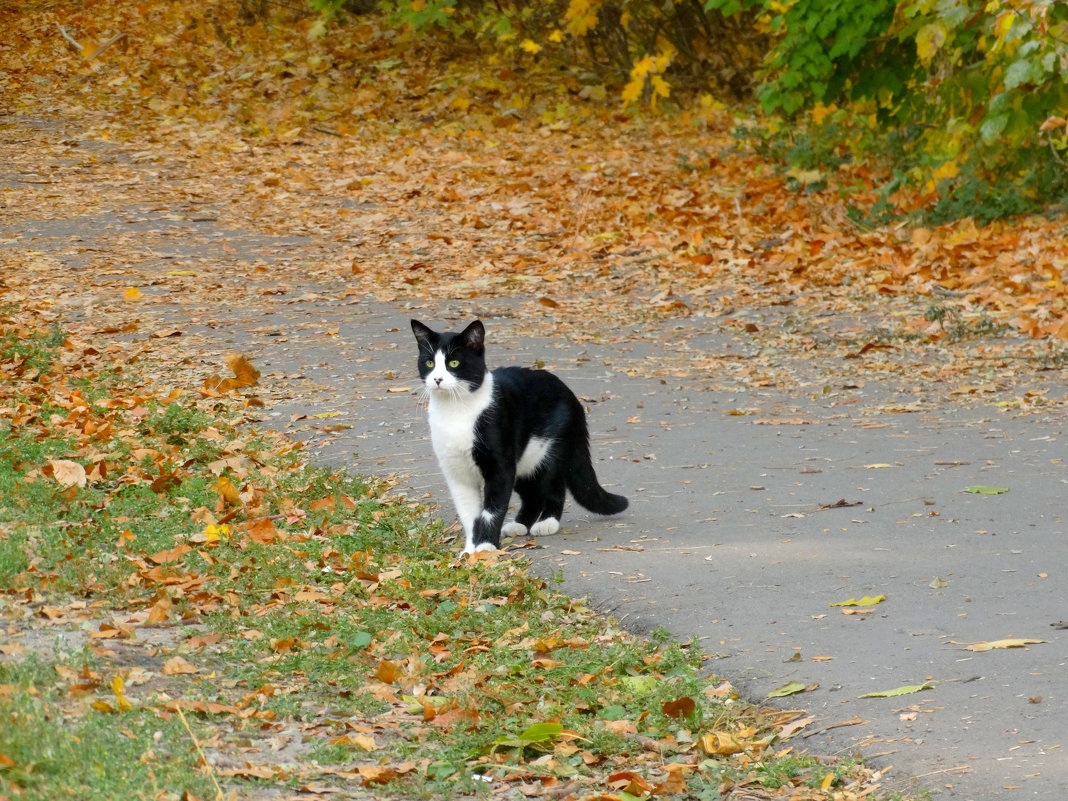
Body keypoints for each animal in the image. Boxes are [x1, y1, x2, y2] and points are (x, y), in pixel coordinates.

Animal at [407, 318, 623, 551]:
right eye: (429, 363)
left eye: (453, 363)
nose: (437, 379)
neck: (456, 411)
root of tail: (570, 394)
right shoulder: (457, 473)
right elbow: (469, 515)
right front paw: (470, 551)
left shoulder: (500, 468)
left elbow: (491, 511)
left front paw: (486, 547)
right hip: (522, 461)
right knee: (531, 495)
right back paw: (520, 525)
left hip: (550, 450)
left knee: (554, 487)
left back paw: (547, 522)